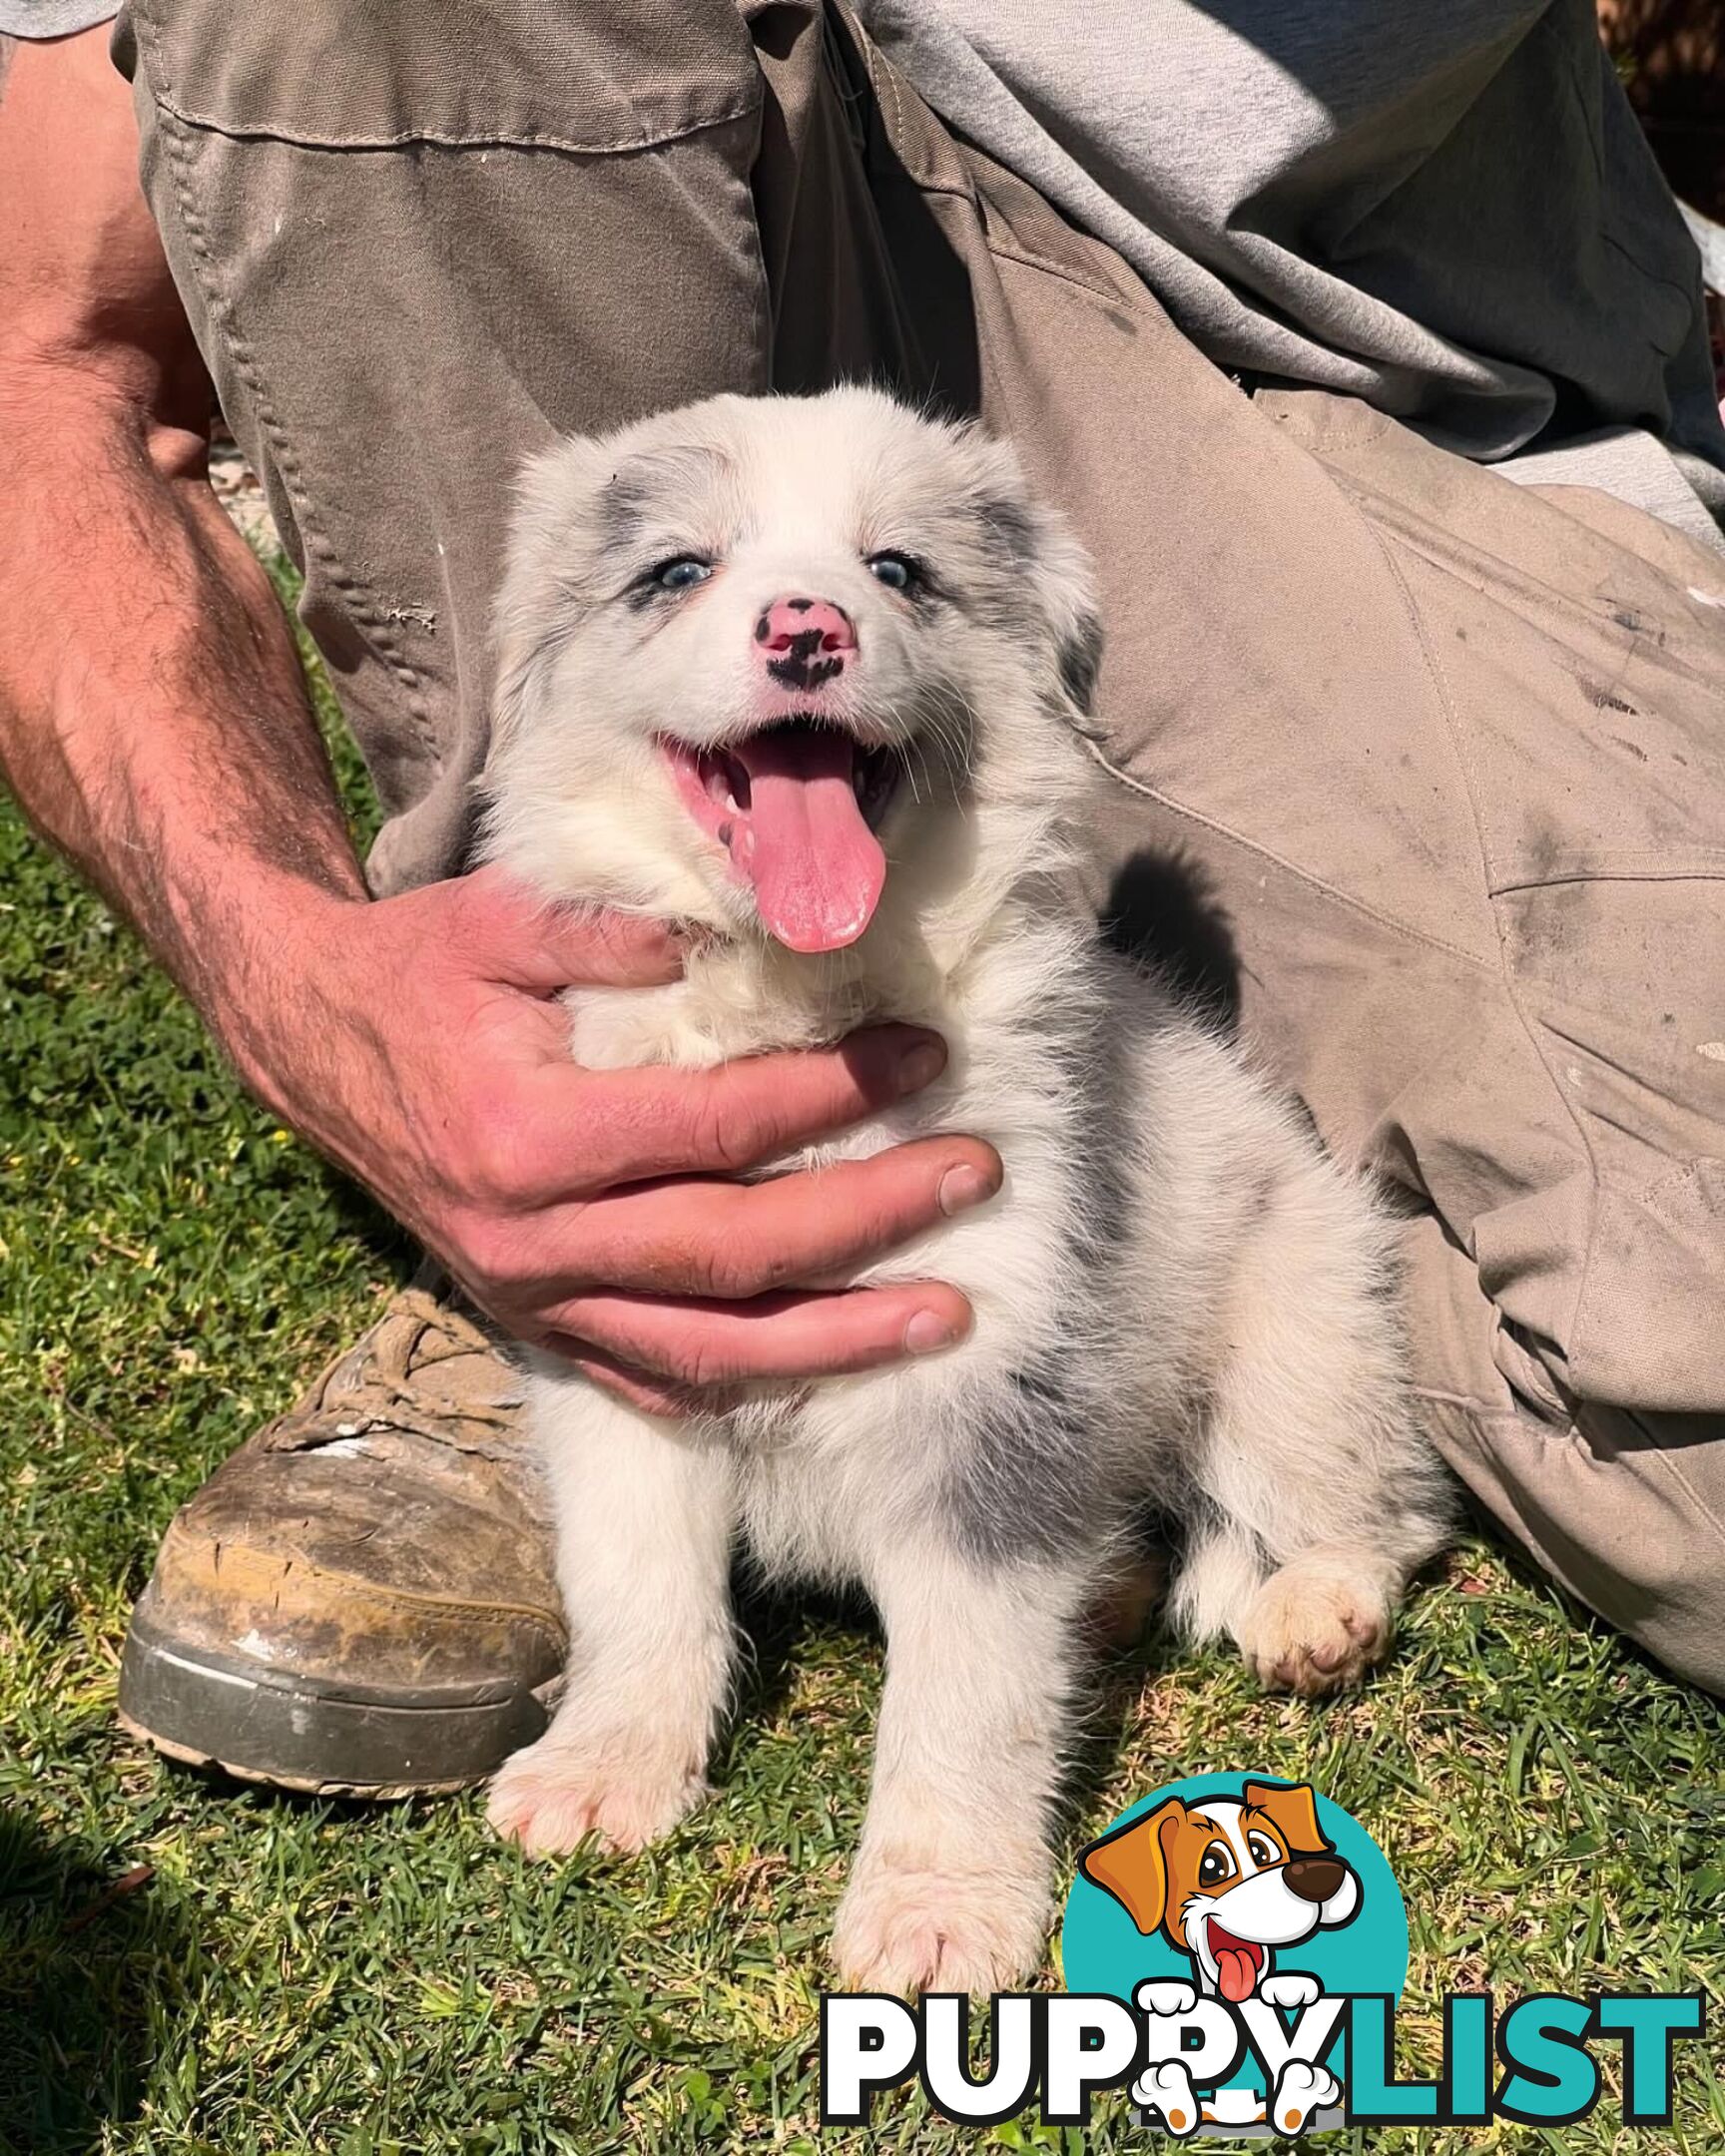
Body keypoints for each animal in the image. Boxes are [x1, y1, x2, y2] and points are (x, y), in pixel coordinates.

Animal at [478, 383, 1448, 1983]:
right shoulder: (620, 1349)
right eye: (677, 570)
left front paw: (937, 1913)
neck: (802, 1003)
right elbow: (635, 1587)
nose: (807, 628)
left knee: (1375, 1502)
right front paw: (603, 1771)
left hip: (1301, 1325)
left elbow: (965, 1693)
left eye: (900, 571)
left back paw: (1316, 1606)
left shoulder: (996, 1380)